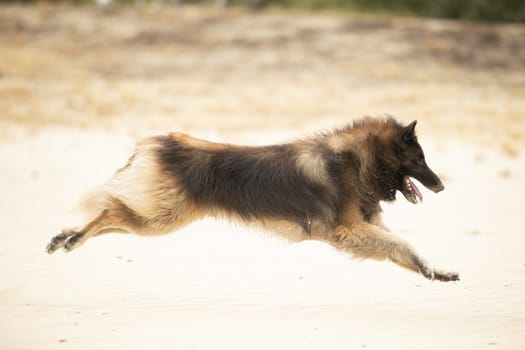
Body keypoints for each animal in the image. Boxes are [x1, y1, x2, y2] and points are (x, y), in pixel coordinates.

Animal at [47, 117, 460, 282]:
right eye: (420, 160)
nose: (441, 186)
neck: (360, 159)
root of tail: (161, 142)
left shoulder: (366, 226)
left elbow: (405, 249)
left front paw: (436, 271)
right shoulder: (347, 231)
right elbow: (403, 244)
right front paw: (432, 269)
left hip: (157, 218)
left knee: (111, 213)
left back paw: (66, 236)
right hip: (160, 219)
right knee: (107, 211)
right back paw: (71, 237)